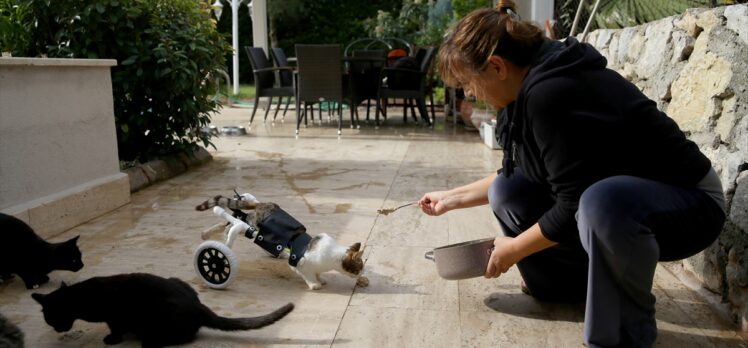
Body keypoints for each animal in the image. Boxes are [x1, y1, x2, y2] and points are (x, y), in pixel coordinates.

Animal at [32, 274, 296, 346]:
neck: (81, 297)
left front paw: (112, 339)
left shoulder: (115, 315)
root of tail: (199, 306)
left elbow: (115, 328)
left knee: (186, 336)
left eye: (52, 317)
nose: (57, 329)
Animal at [194, 194, 366, 290]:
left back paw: (208, 234)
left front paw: (321, 279)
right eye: (358, 269)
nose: (362, 275)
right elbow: (308, 275)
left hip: (252, 227)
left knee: (233, 221)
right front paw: (314, 284)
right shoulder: (299, 263)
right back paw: (217, 238)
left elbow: (317, 273)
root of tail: (264, 204)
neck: (331, 256)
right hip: (253, 224)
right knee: (232, 223)